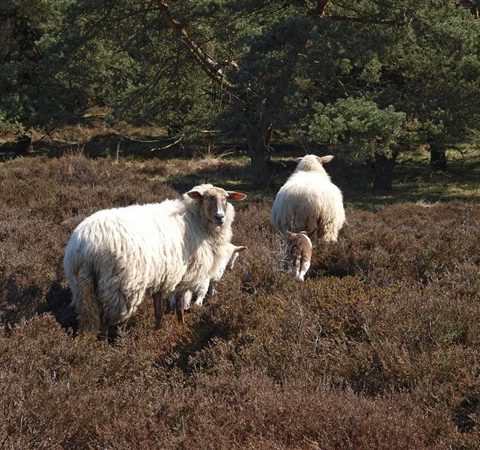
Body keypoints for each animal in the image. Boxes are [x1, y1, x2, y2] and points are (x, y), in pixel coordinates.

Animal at [63, 184, 248, 334]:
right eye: (207, 198)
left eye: (226, 198)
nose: (220, 217)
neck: (195, 218)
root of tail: (85, 245)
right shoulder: (184, 276)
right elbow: (180, 304)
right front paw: (181, 326)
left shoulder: (161, 275)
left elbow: (158, 310)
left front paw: (158, 330)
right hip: (115, 287)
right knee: (105, 320)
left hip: (82, 286)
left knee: (88, 316)